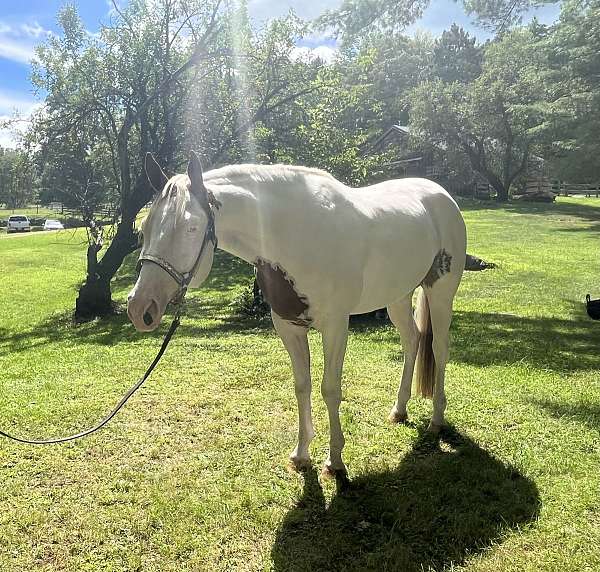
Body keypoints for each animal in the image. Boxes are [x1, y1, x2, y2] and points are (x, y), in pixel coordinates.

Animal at [129, 153, 466, 478]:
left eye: (191, 228)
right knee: (412, 341)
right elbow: (302, 385)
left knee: (439, 348)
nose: (139, 307)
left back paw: (437, 418)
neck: (297, 235)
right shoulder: (289, 327)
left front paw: (335, 462)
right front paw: (301, 455)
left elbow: (330, 389)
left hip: (440, 293)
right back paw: (399, 410)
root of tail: (440, 195)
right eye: (143, 230)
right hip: (397, 297)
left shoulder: (335, 326)